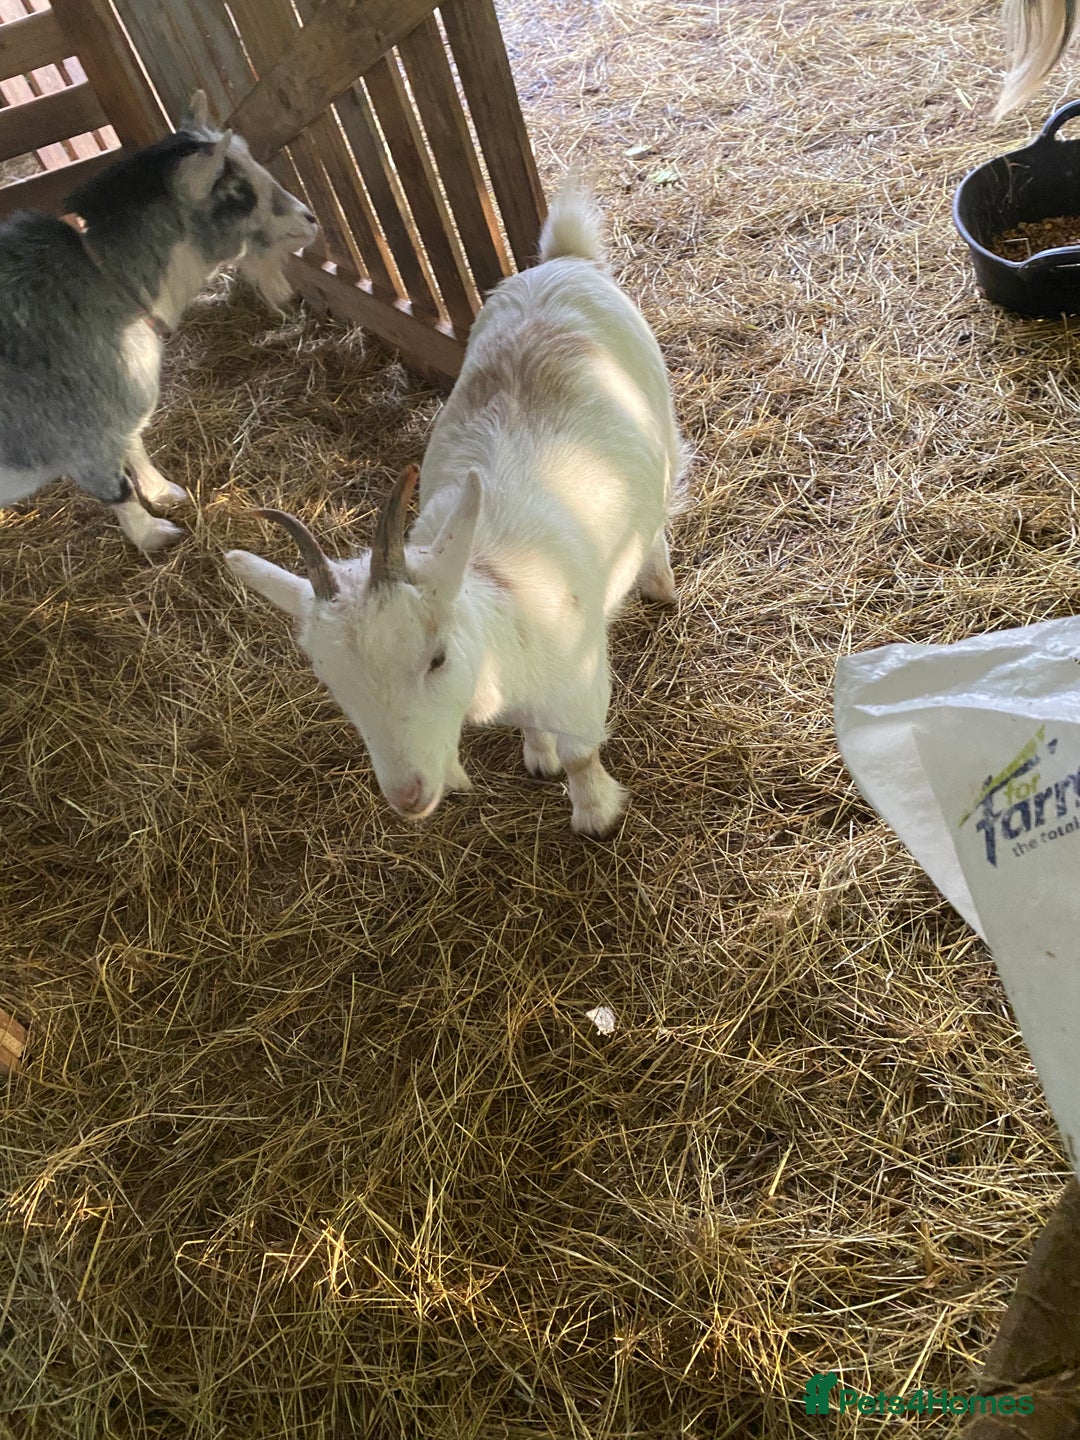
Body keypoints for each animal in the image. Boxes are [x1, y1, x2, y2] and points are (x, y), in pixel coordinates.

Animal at [0, 91, 317, 552]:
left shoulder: (120, 406)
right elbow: (119, 490)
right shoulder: (81, 435)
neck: (107, 283)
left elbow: (134, 444)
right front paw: (153, 535)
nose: (310, 219)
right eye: (238, 192)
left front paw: (164, 492)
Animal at [225, 182, 684, 838]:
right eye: (330, 679)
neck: (501, 593)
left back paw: (659, 582)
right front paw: (537, 754)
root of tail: (562, 261)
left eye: (436, 658)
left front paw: (595, 813)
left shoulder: (581, 684)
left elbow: (581, 752)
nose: (408, 794)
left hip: (662, 420)